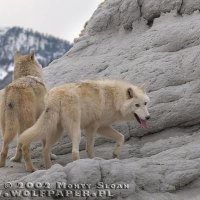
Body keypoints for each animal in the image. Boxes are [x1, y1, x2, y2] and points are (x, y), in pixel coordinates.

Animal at [19, 79, 150, 172]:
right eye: (137, 105)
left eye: (145, 103)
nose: (148, 117)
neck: (114, 98)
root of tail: (55, 95)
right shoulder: (93, 127)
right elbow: (90, 148)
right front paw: (94, 160)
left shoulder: (102, 127)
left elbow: (121, 137)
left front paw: (115, 154)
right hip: (76, 131)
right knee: (74, 153)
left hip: (57, 132)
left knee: (45, 150)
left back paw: (49, 169)